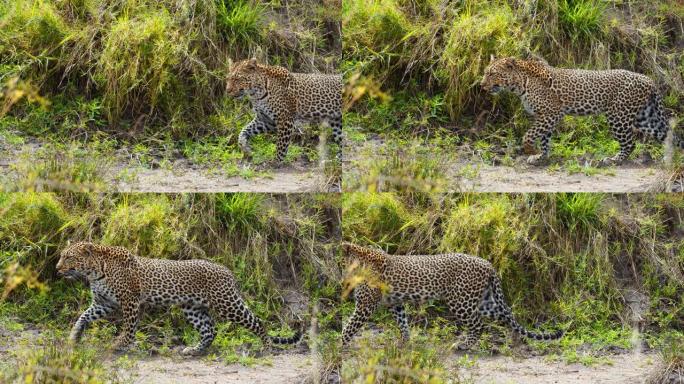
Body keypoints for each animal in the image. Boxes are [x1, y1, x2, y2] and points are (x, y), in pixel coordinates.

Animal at [57, 242, 304, 356]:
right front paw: (74, 337)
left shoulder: (130, 301)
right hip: (193, 308)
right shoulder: (103, 304)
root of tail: (227, 271)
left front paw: (120, 344)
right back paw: (194, 350)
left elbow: (128, 327)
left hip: (227, 303)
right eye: (62, 256)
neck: (95, 271)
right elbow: (83, 317)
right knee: (210, 331)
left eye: (69, 257)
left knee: (257, 322)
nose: (57, 268)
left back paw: (266, 347)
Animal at [340, 244, 564, 350]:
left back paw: (463, 345)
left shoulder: (365, 305)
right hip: (482, 302)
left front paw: (338, 344)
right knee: (507, 316)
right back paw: (516, 340)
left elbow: (349, 326)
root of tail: (488, 265)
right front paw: (405, 343)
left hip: (461, 302)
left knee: (479, 325)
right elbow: (402, 324)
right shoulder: (396, 304)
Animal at [478, 55, 680, 165]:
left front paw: (530, 151)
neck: (520, 84)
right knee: (667, 135)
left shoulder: (551, 113)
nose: (482, 85)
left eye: (492, 74)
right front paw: (541, 157)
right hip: (644, 117)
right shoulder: (548, 116)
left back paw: (614, 160)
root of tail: (648, 79)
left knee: (630, 143)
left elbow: (529, 135)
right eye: (485, 73)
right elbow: (544, 139)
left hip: (618, 116)